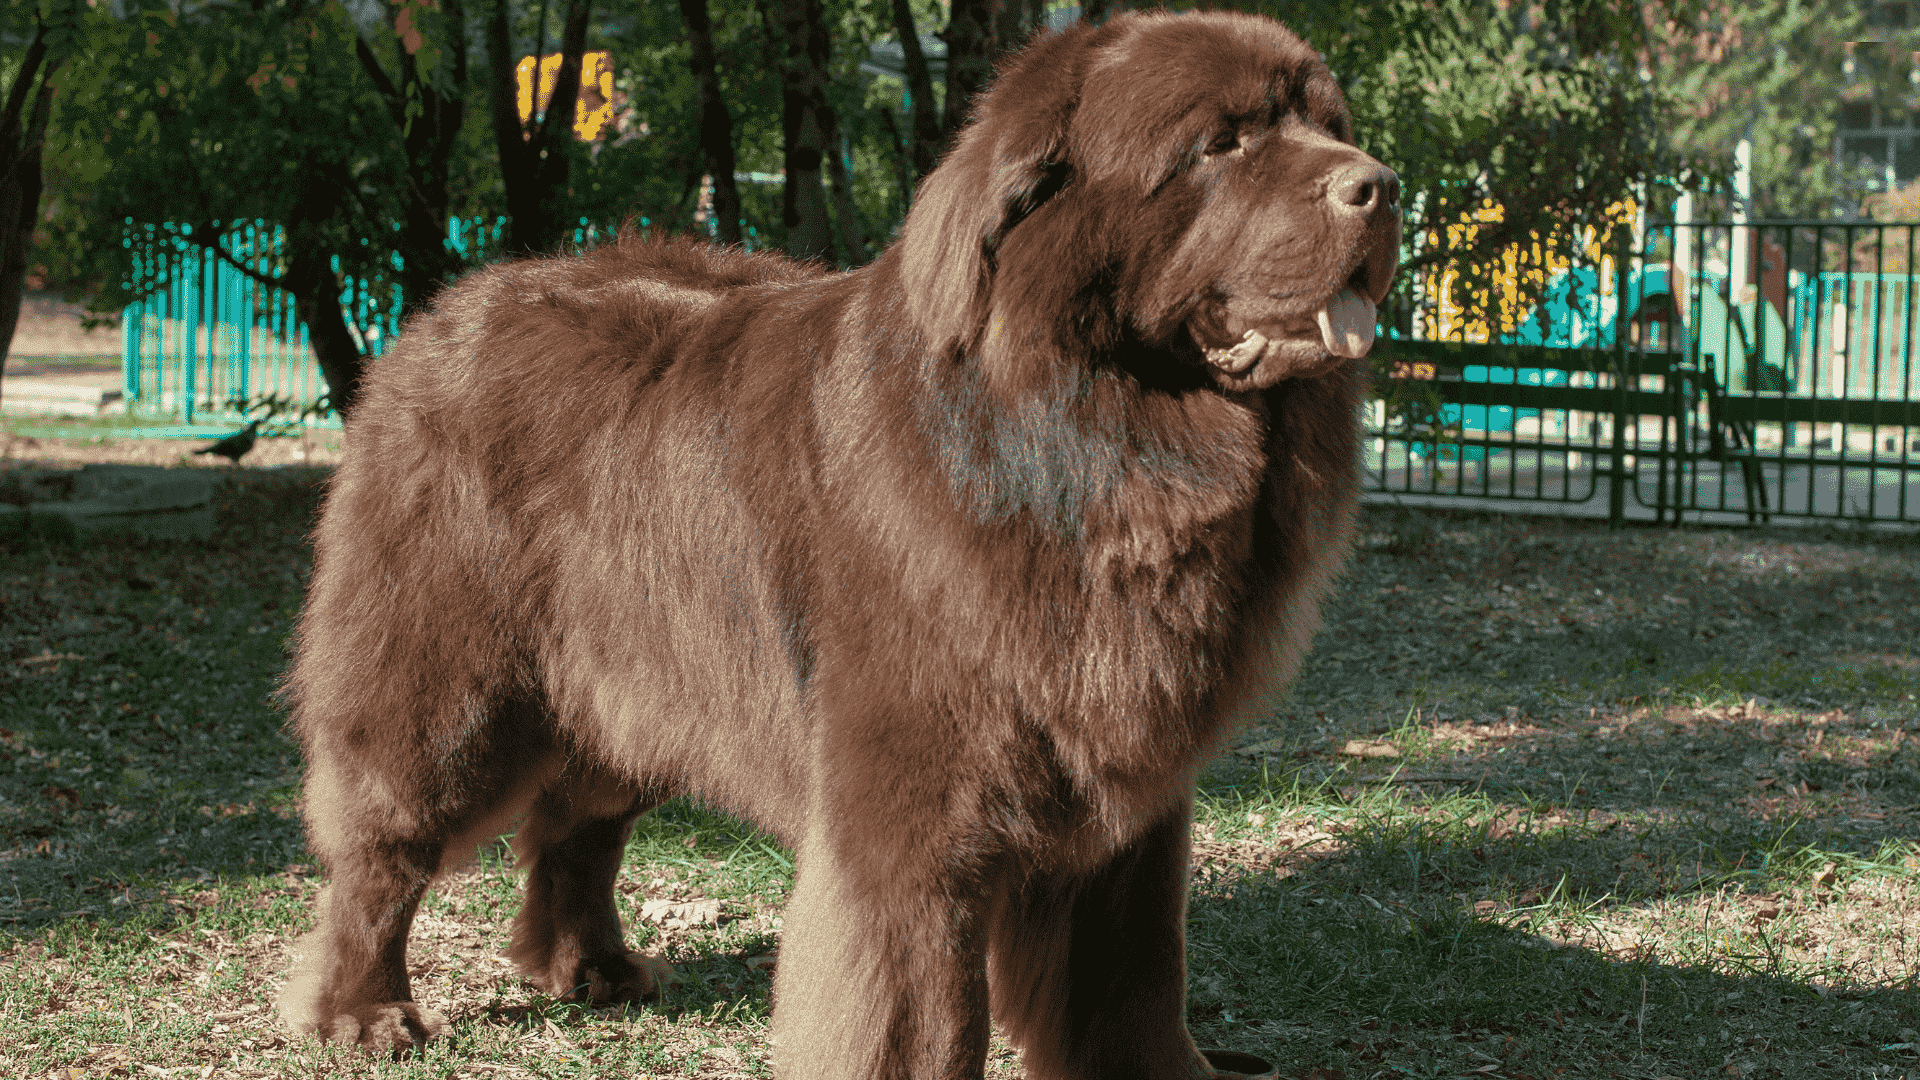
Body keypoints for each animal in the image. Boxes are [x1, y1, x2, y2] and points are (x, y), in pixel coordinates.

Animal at [280, 10, 1397, 1076]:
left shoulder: (1131, 785)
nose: (1379, 186)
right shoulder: (915, 799)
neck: (1089, 448)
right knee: (382, 845)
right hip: (452, 683)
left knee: (577, 819)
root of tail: (442, 311)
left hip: (643, 673)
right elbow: (911, 1008)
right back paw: (362, 1013)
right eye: (1222, 142)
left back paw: (590, 967)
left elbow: (1132, 974)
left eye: (1327, 124)